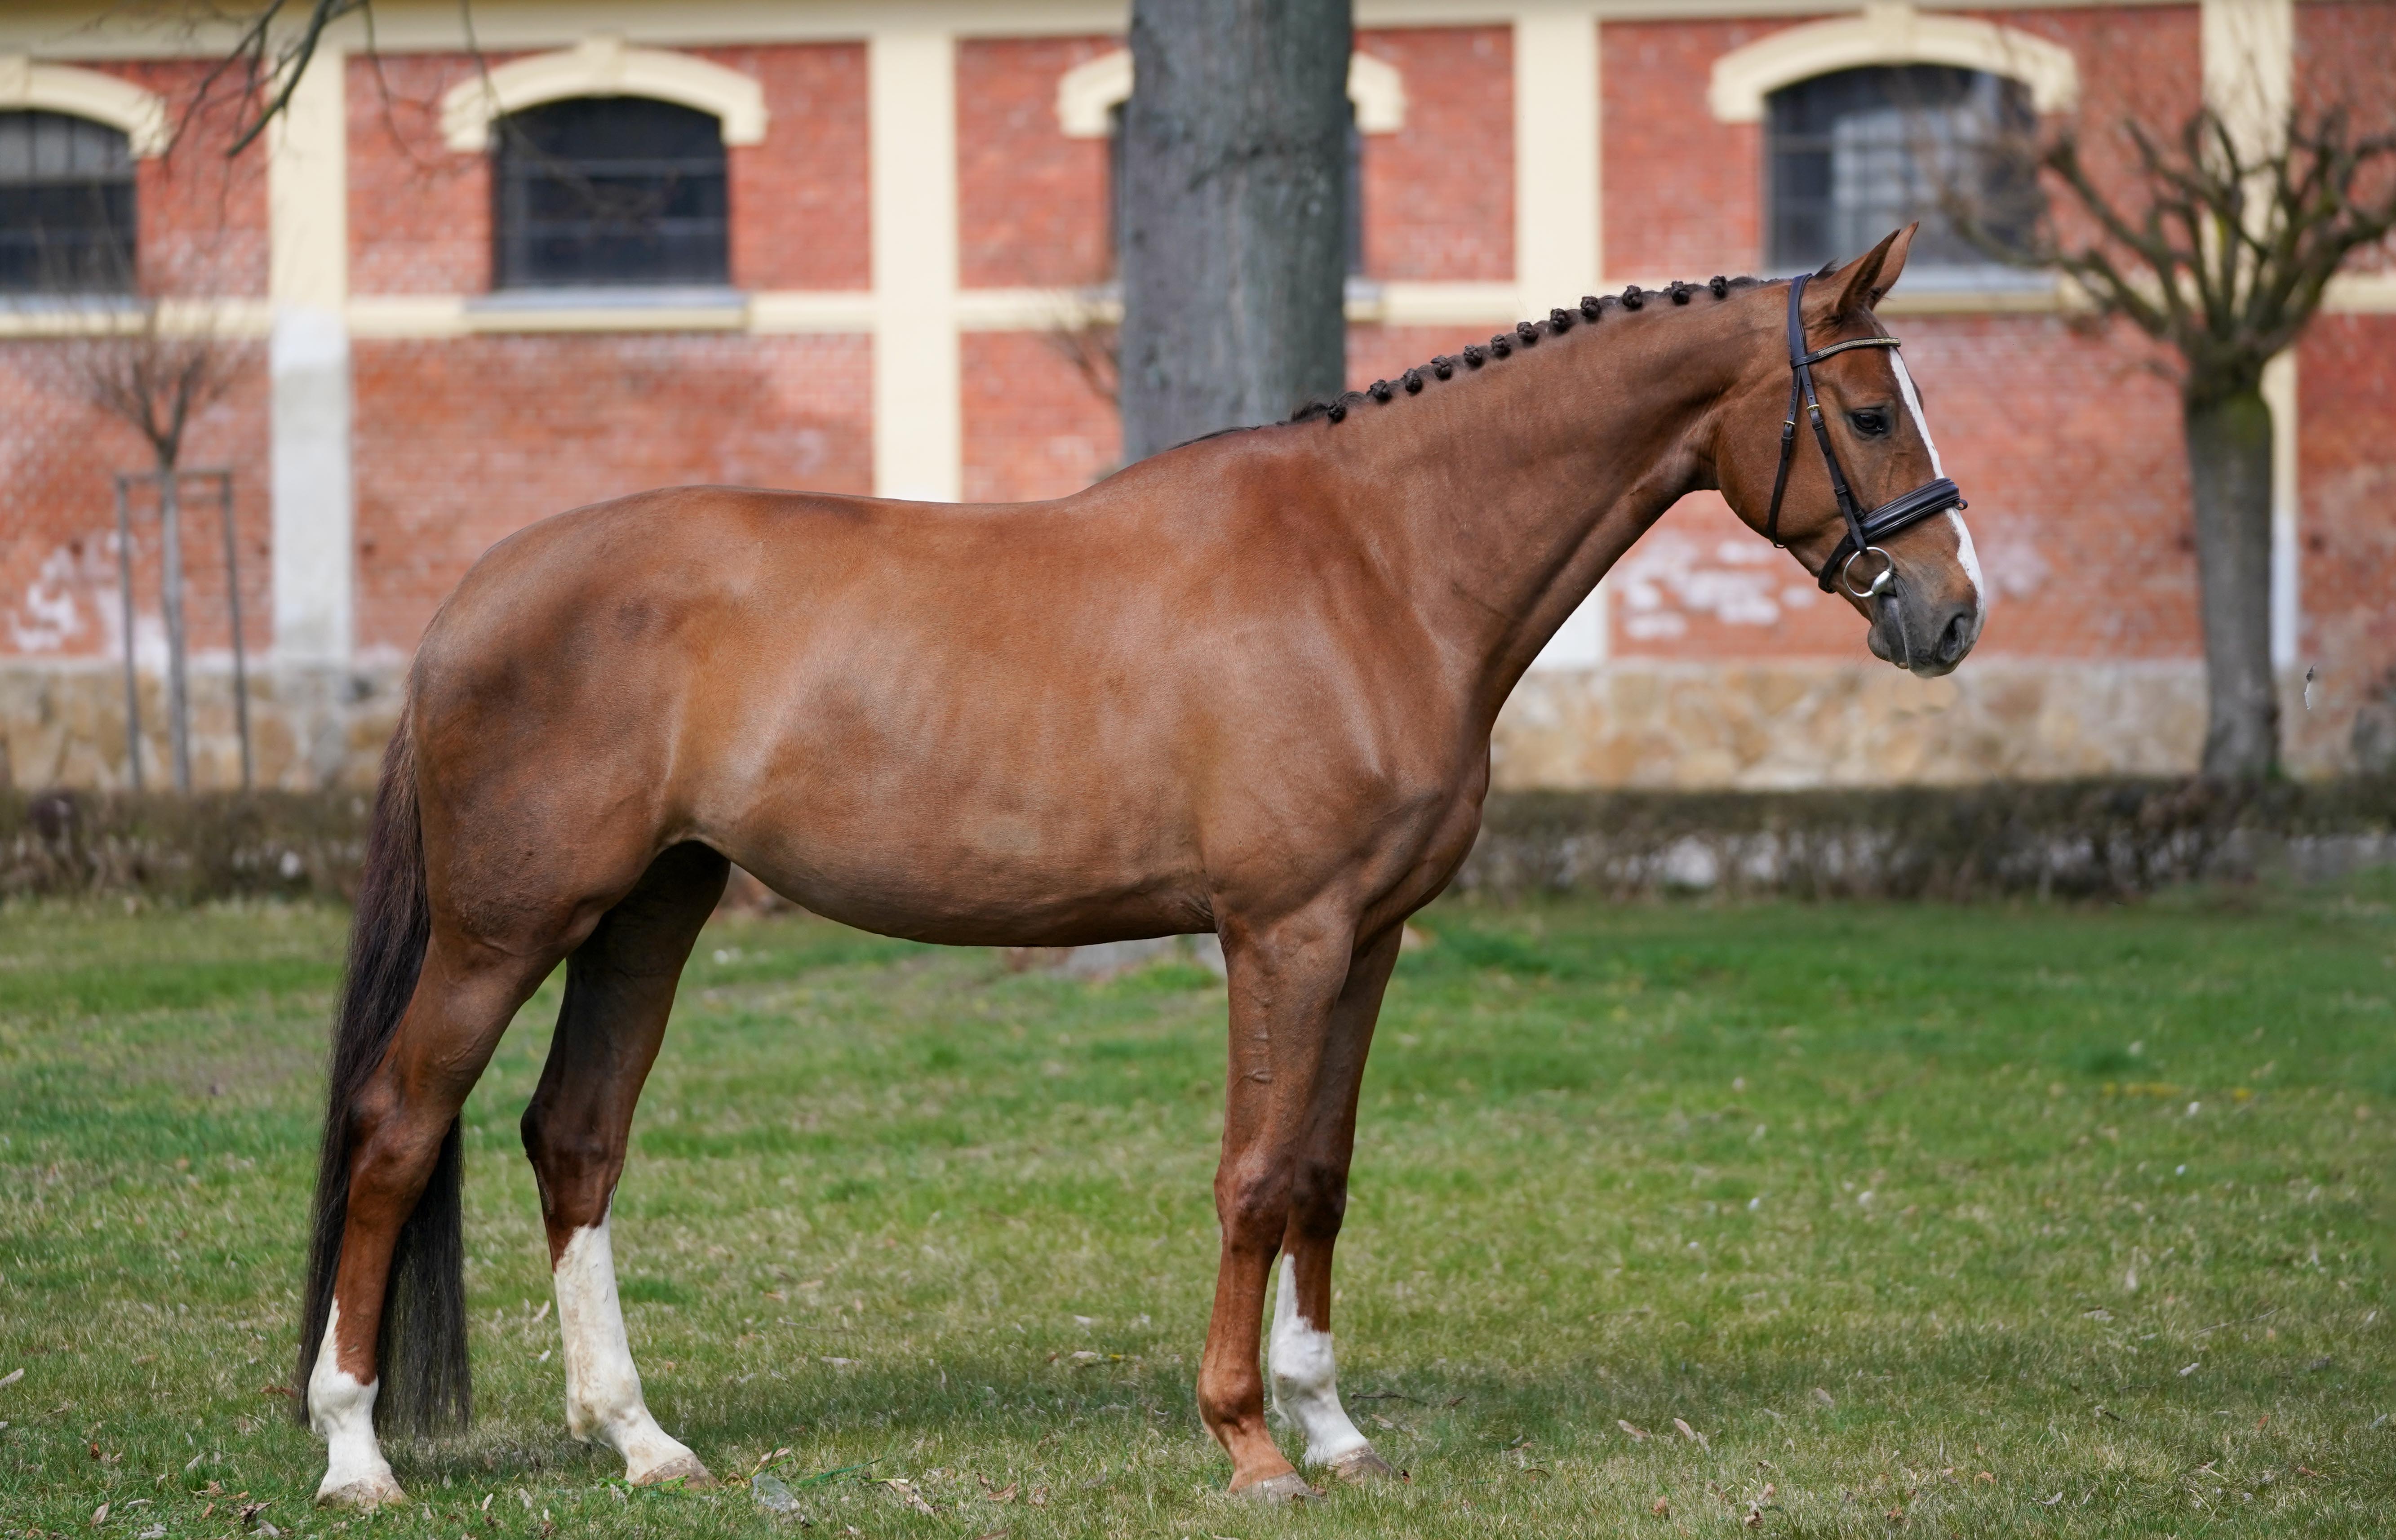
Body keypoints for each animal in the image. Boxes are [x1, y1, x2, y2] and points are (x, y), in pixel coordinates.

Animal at [295, 226, 1983, 1506]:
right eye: (1870, 411)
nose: (1950, 612)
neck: (1374, 563)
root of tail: (475, 595)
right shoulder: (1281, 932)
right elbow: (1253, 1176)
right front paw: (1249, 1441)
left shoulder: (1369, 937)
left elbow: (1321, 1174)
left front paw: (1332, 1423)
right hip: (506, 927)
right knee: (394, 1127)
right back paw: (357, 1450)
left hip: (649, 908)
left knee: (574, 1137)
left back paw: (642, 1440)